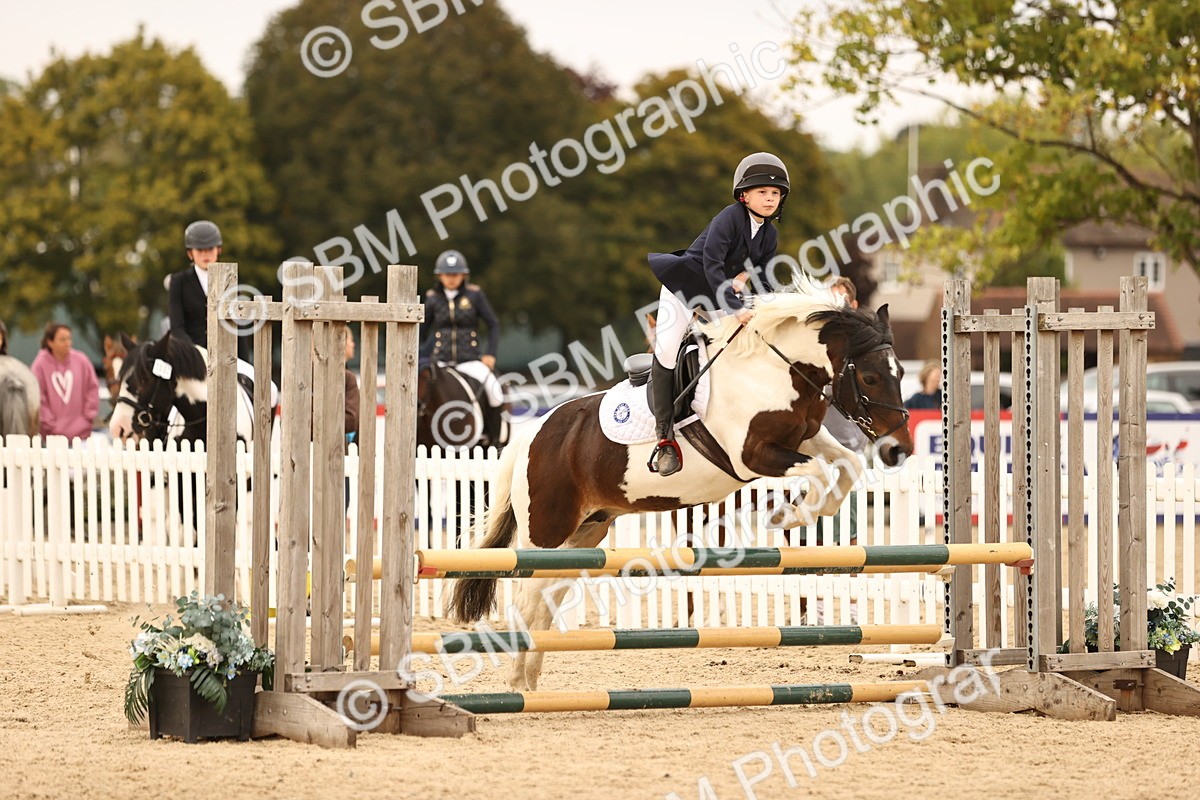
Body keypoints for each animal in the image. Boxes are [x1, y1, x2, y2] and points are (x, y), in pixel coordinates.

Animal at [447, 291, 914, 690]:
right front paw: (789, 514)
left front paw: (802, 510)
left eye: (901, 374)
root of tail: (531, 433)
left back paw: (530, 681)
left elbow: (846, 464)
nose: (900, 449)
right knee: (527, 599)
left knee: (547, 597)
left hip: (584, 531)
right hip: (545, 531)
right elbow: (817, 470)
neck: (771, 370)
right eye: (870, 377)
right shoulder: (751, 456)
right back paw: (516, 681)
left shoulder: (804, 437)